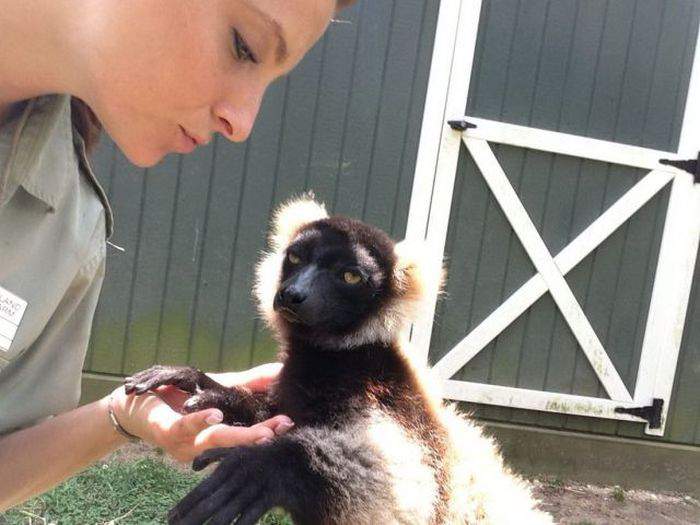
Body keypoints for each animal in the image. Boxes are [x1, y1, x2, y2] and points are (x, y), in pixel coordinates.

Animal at [125, 196, 553, 525]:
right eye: (296, 257)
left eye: (350, 277)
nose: (292, 294)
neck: (339, 356)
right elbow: (276, 412)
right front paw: (204, 386)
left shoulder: (383, 395)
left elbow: (408, 486)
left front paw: (268, 468)